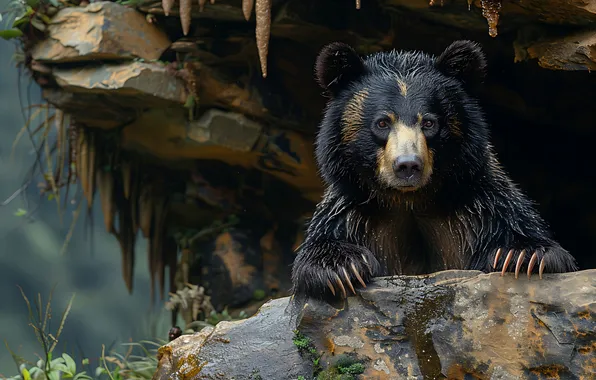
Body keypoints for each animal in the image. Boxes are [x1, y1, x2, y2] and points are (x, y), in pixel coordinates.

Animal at [292, 38, 580, 300]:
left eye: (429, 122)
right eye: (383, 122)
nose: (408, 165)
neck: (409, 200)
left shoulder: (480, 210)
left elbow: (526, 234)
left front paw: (519, 256)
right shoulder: (354, 214)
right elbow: (325, 242)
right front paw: (343, 267)